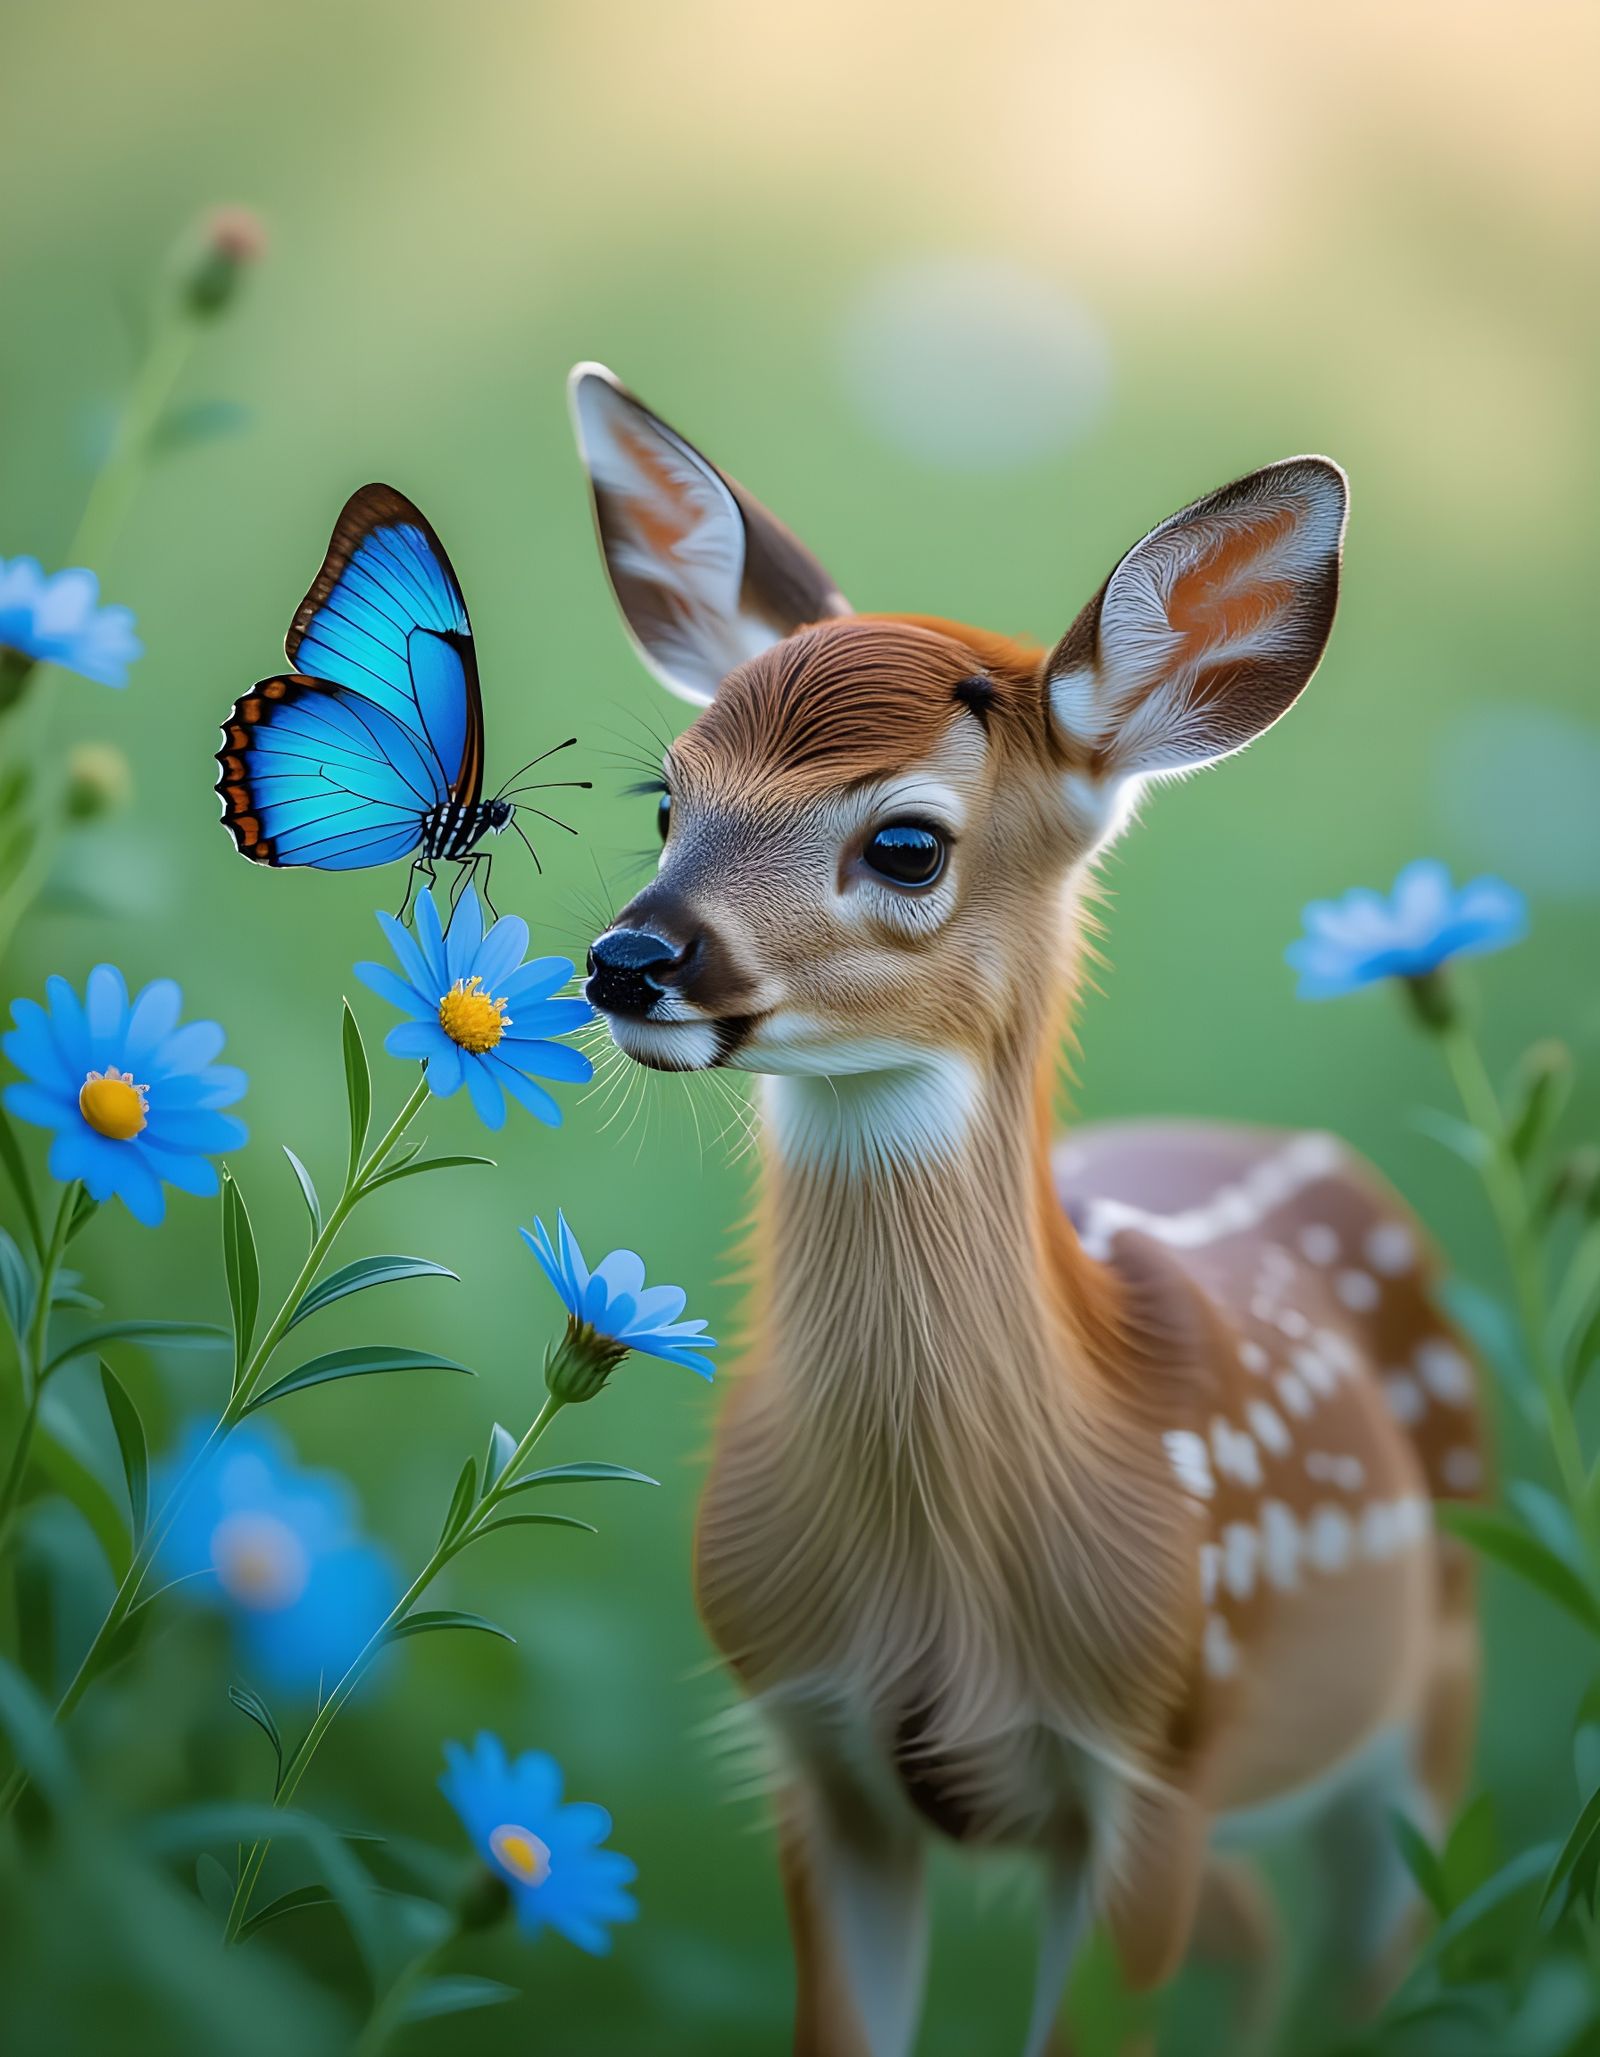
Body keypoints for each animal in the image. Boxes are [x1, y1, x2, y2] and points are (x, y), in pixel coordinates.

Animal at [566, 361, 1485, 2057]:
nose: (629, 961)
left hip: (1430, 1682)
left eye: (905, 840)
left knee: (1389, 1957)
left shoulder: (1155, 1763)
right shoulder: (815, 1750)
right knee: (1268, 1945)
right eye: (667, 798)